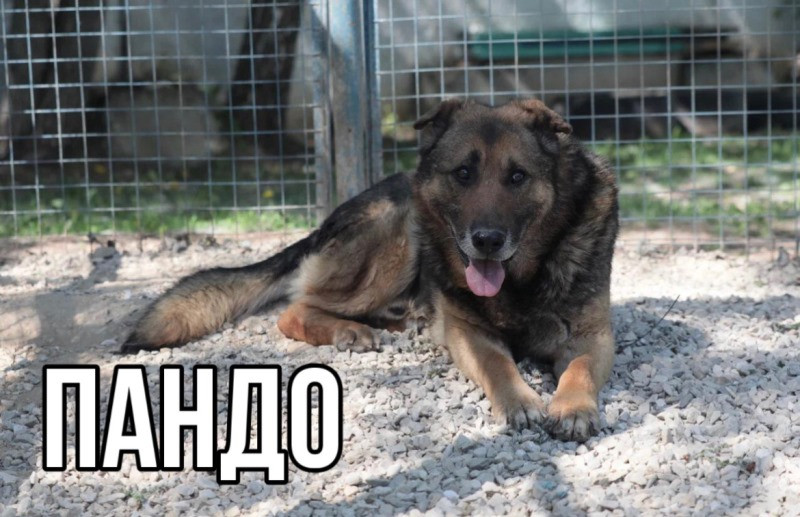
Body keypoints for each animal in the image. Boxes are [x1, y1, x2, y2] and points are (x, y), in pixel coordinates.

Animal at [122, 98, 619, 442]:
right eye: (463, 174)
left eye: (518, 177)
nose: (487, 240)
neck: (522, 280)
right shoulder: (469, 333)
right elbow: (498, 363)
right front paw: (520, 400)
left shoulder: (591, 336)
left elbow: (579, 369)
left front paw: (573, 408)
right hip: (399, 227)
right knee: (295, 307)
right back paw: (349, 330)